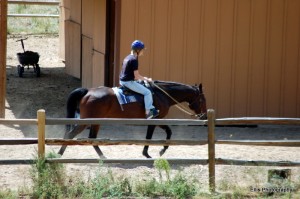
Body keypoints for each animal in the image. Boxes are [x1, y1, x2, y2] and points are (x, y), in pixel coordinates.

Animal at [58, 80, 209, 158]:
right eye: (203, 100)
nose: (204, 116)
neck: (161, 94)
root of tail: (88, 91)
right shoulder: (155, 119)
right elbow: (150, 136)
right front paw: (147, 153)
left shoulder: (159, 120)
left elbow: (168, 131)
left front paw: (162, 150)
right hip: (86, 121)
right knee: (72, 134)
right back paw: (59, 154)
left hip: (96, 121)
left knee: (91, 138)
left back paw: (102, 157)